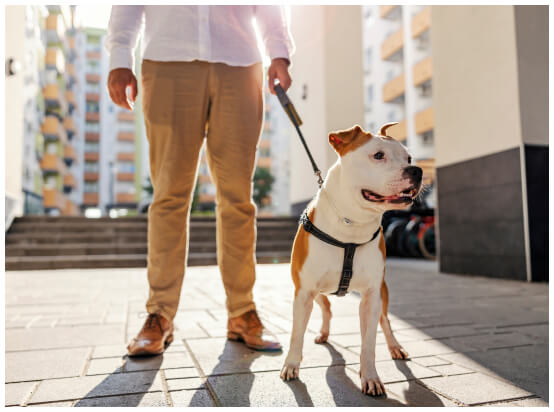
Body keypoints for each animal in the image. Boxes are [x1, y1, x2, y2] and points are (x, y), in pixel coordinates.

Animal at [280, 121, 422, 396]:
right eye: (378, 155)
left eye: (408, 158)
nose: (417, 170)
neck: (351, 224)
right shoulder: (303, 292)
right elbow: (296, 334)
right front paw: (291, 364)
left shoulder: (371, 295)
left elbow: (369, 342)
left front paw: (370, 377)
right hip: (316, 292)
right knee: (326, 308)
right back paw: (323, 334)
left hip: (383, 292)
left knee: (385, 322)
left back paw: (395, 346)